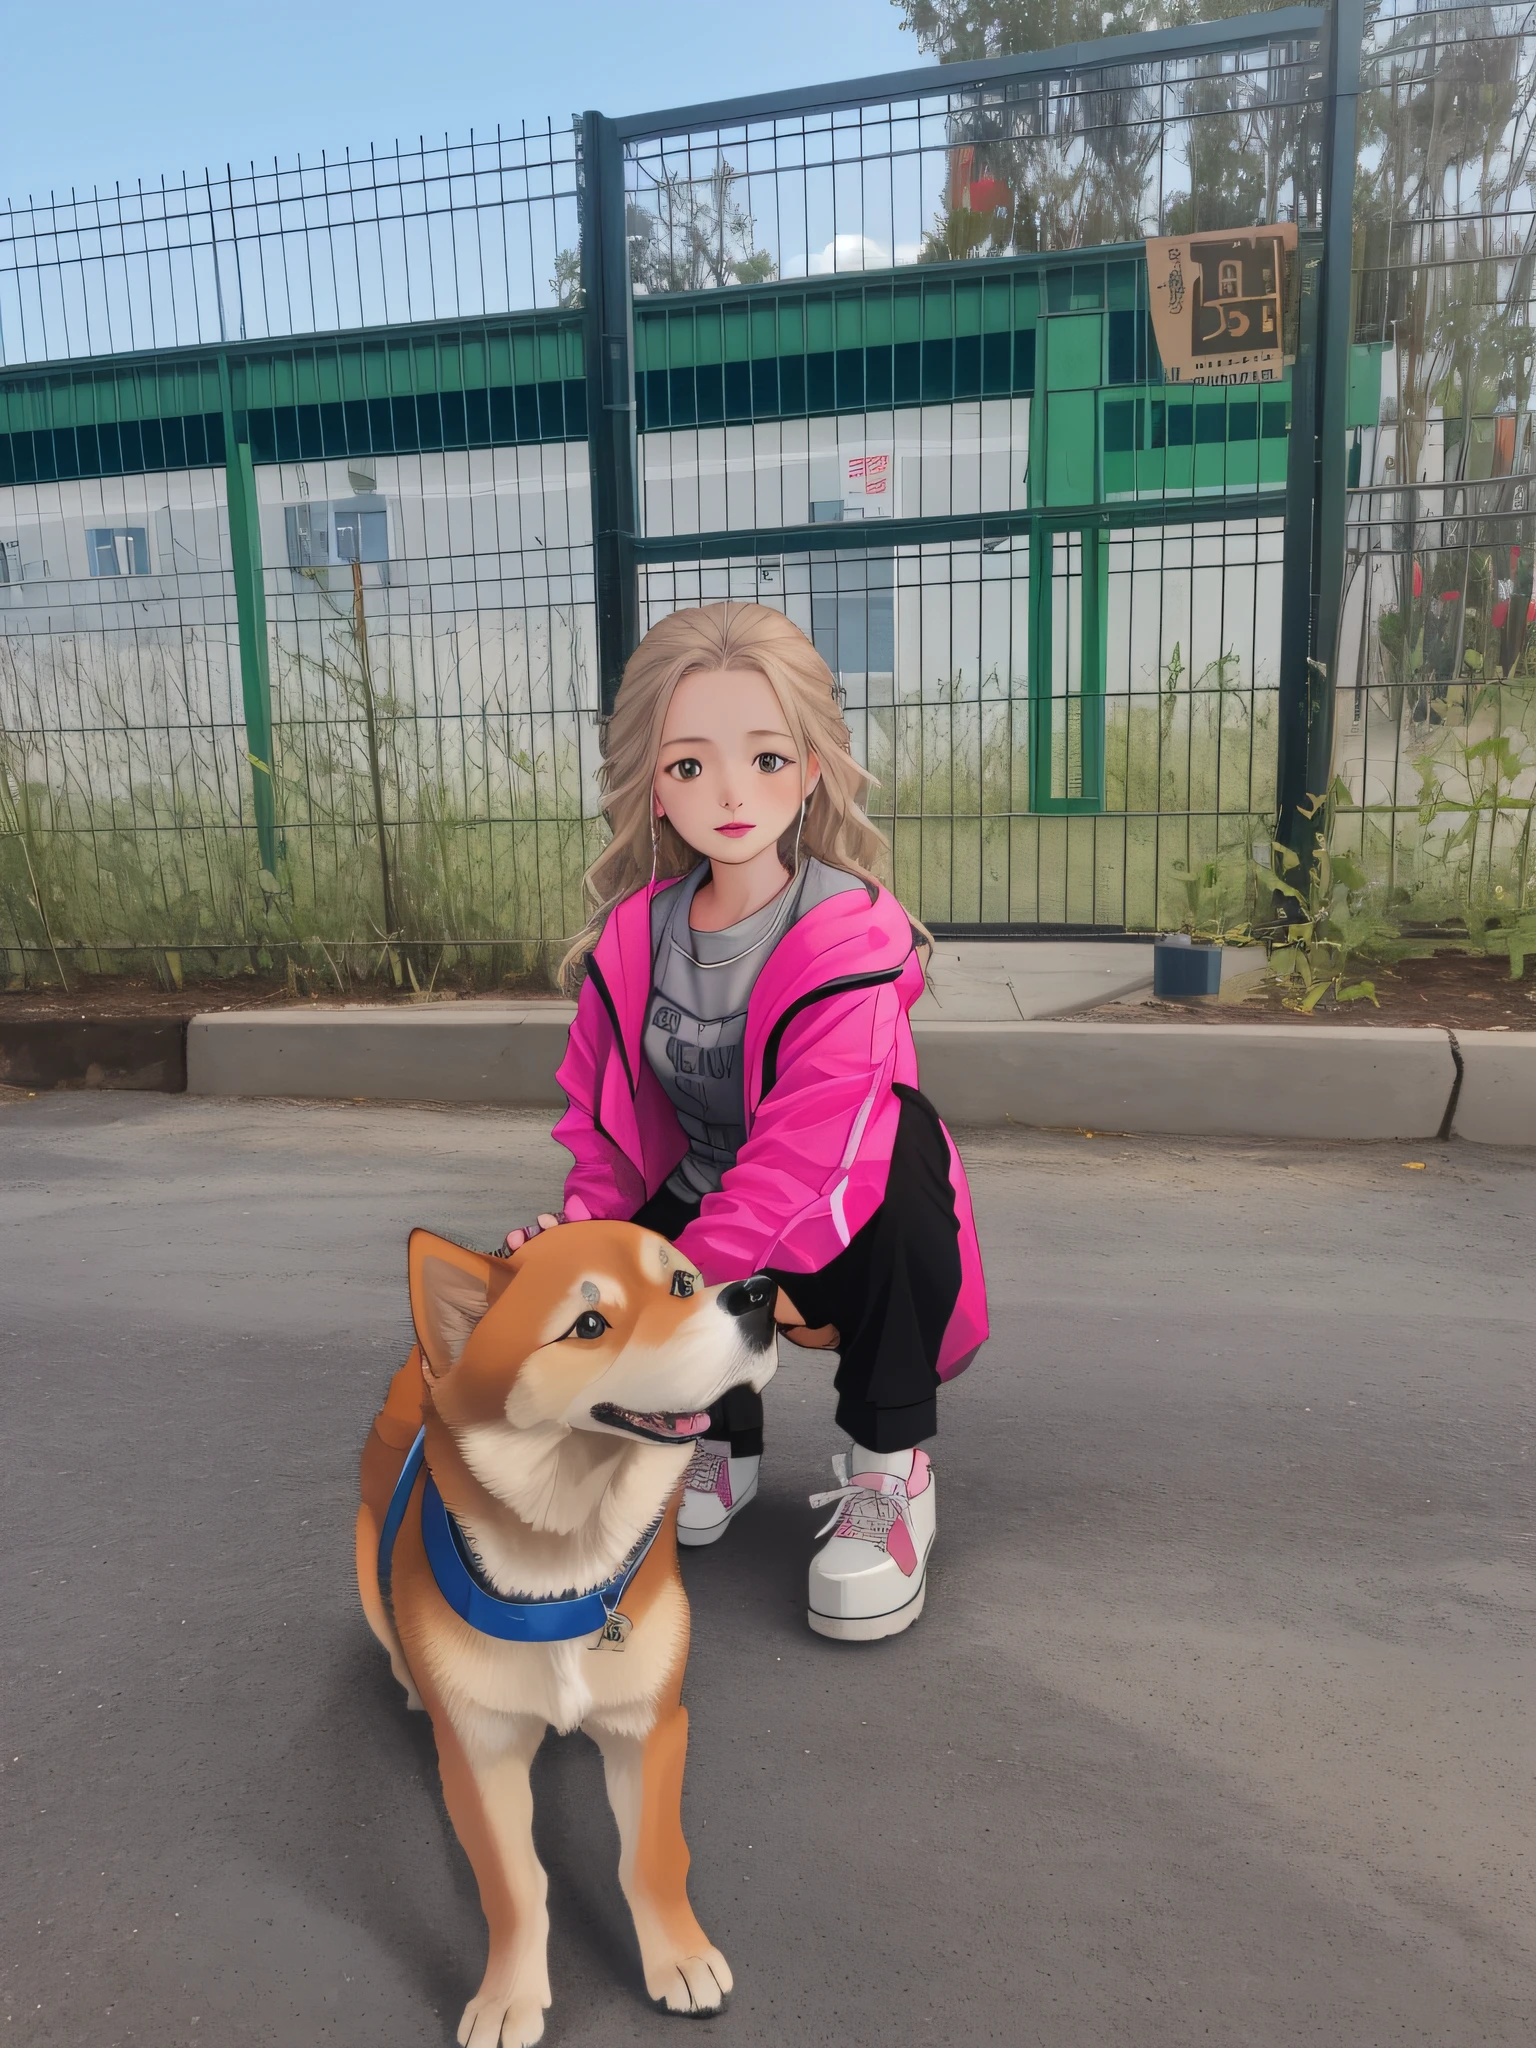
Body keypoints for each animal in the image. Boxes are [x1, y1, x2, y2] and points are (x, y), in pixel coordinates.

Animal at [354, 1220, 774, 2039]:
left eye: (682, 1284)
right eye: (588, 1325)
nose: (760, 1295)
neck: (566, 1571)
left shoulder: (651, 1726)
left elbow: (651, 1858)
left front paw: (679, 1959)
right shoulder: (478, 1756)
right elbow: (514, 1885)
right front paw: (506, 1998)